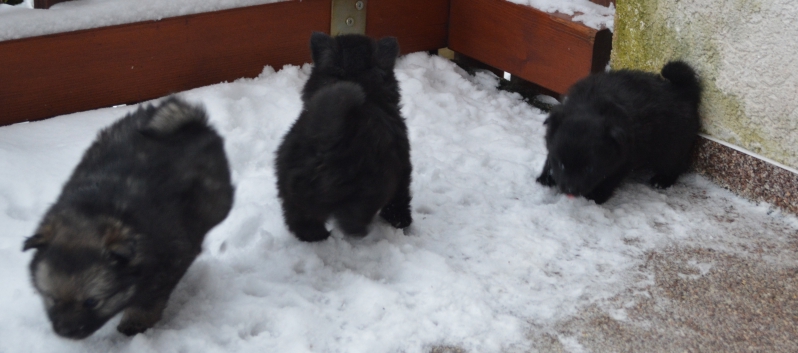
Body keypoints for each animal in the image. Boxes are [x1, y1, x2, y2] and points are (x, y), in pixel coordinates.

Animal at [21, 97, 234, 338]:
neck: (94, 213)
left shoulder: (172, 259)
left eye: (91, 302)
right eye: (52, 299)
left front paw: (134, 321)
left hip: (216, 199)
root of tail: (194, 122)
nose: (66, 332)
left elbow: (149, 299)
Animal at [276, 32, 416, 242]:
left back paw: (318, 237)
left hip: (291, 194)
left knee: (301, 222)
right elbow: (400, 198)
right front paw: (401, 221)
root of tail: (325, 142)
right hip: (366, 193)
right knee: (353, 220)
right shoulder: (403, 167)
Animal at [536, 61, 700, 204]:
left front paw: (596, 196)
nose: (570, 190)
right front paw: (545, 178)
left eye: (589, 169)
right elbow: (549, 157)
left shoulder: (623, 159)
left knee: (677, 165)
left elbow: (609, 179)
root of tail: (683, 92)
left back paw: (662, 180)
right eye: (562, 165)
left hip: (670, 149)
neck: (591, 105)